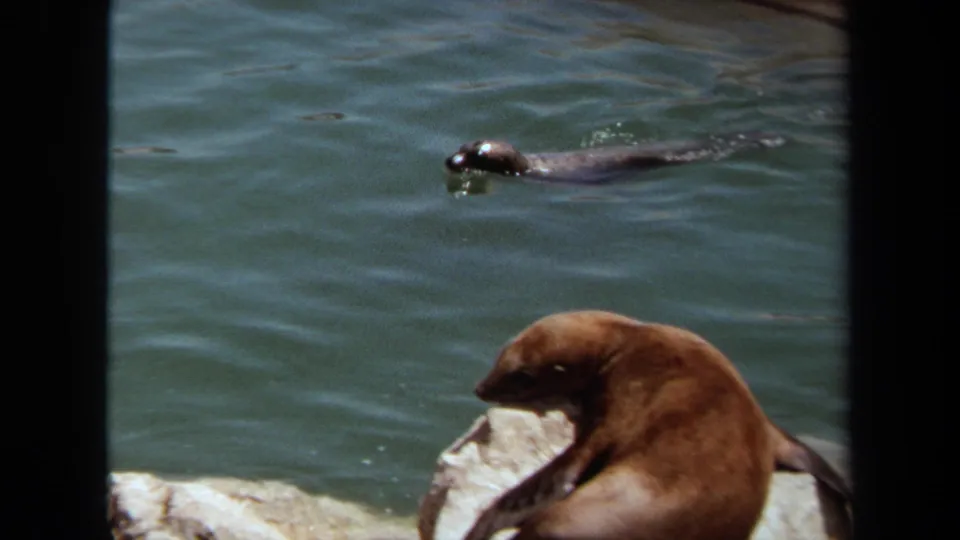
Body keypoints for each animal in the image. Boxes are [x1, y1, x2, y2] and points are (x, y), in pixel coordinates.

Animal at [463, 310, 853, 540]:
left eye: (521, 376)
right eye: (500, 356)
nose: (480, 387)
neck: (622, 343)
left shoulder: (620, 404)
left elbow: (571, 464)